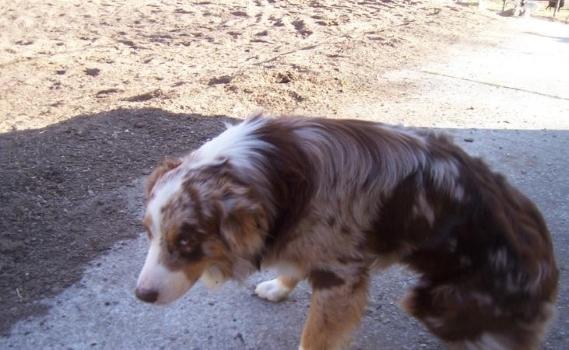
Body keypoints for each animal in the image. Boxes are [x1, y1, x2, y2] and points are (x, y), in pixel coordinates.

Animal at [135, 115, 556, 350]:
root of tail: (549, 266)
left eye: (186, 241)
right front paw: (278, 286)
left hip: (440, 303)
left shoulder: (341, 277)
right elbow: (295, 262)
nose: (141, 296)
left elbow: (315, 336)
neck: (277, 171)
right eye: (149, 233)